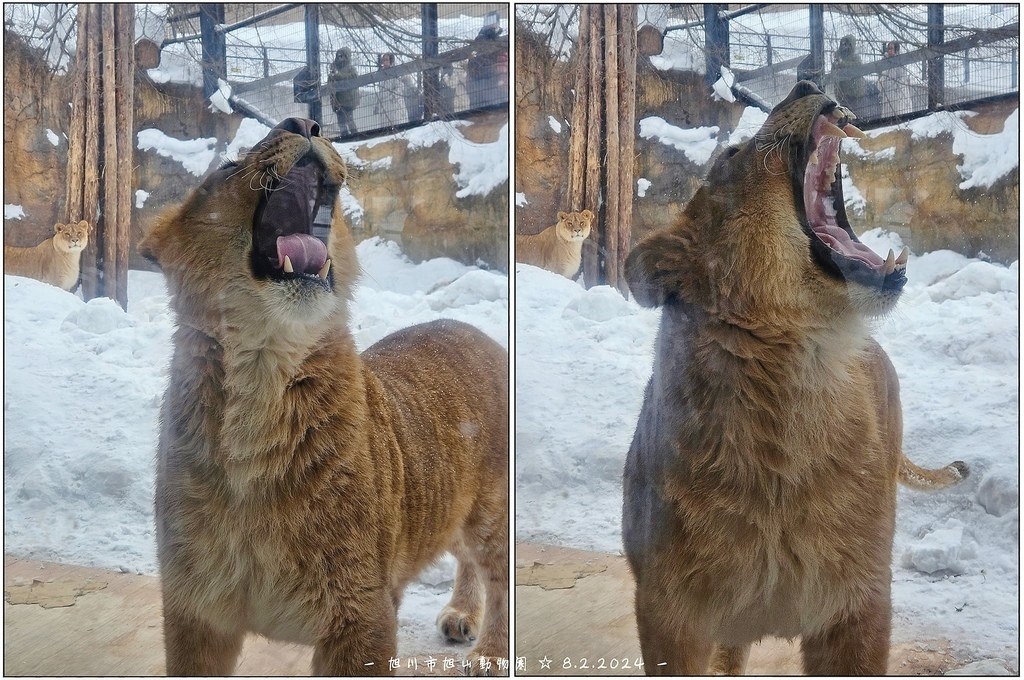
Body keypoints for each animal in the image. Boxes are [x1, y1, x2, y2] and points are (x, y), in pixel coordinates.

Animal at [138, 116, 512, 675]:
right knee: (465, 557)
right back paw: (461, 615)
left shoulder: (361, 614)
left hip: (491, 509)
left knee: (500, 571)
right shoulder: (196, 610)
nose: (304, 122)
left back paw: (488, 652)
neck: (262, 373)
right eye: (226, 167)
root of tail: (475, 330)